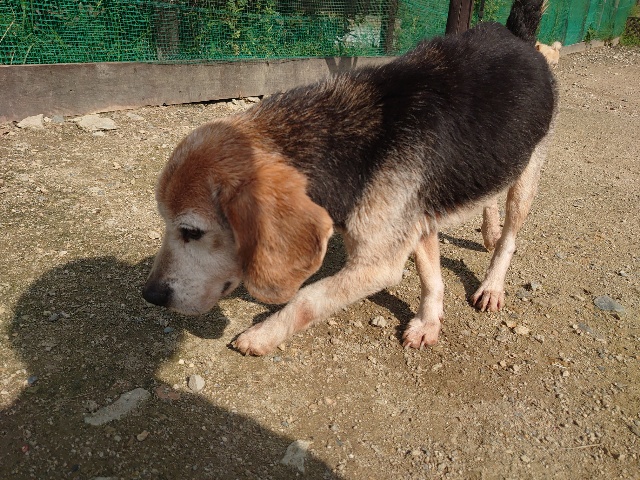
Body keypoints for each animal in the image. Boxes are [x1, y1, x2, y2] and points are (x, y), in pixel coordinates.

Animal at [143, 0, 557, 355]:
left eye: (192, 232)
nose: (150, 295)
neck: (343, 142)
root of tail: (517, 38)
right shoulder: (416, 222)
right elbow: (431, 277)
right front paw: (429, 321)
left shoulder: (379, 261)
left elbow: (308, 298)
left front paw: (263, 335)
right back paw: (488, 230)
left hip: (528, 175)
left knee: (510, 238)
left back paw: (492, 281)